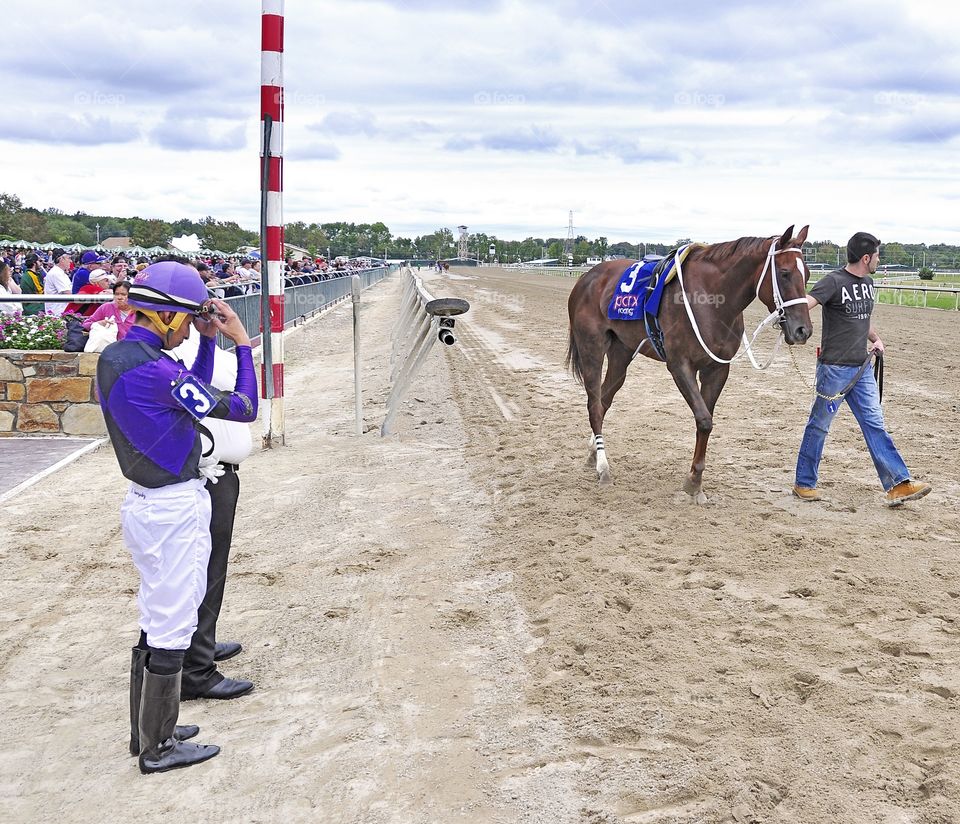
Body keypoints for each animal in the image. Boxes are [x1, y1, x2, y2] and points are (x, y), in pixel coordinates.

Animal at [568, 222, 812, 498]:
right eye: (784, 272)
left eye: (807, 274)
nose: (803, 330)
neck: (711, 297)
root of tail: (587, 277)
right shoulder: (680, 365)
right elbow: (704, 419)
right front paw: (694, 481)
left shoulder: (717, 369)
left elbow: (706, 419)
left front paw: (695, 479)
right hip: (591, 348)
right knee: (594, 404)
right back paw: (603, 467)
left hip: (621, 352)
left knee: (604, 400)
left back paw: (593, 453)